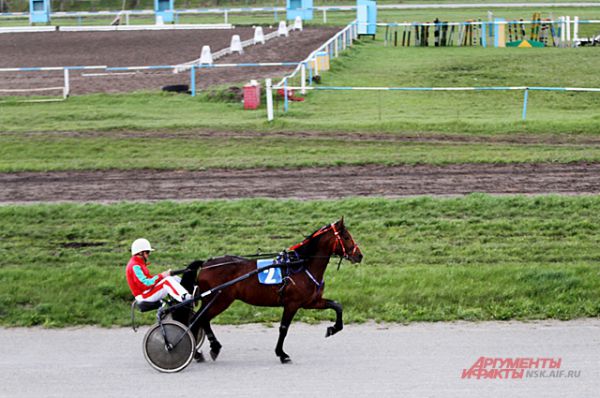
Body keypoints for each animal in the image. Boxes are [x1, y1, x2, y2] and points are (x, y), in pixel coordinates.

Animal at [191, 219, 360, 362]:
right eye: (346, 237)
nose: (359, 255)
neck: (301, 265)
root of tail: (205, 264)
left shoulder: (311, 302)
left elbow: (337, 306)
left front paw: (333, 329)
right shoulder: (292, 304)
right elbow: (283, 328)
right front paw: (282, 354)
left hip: (212, 301)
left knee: (198, 320)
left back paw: (201, 352)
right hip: (220, 300)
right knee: (200, 319)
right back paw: (208, 349)